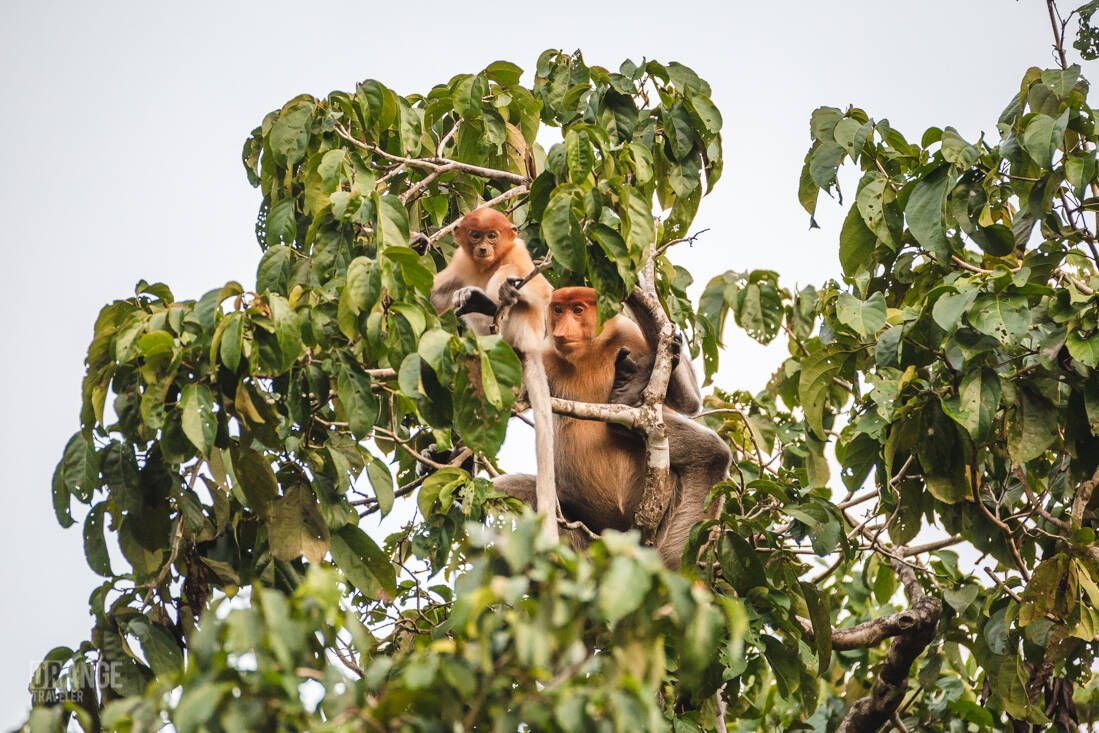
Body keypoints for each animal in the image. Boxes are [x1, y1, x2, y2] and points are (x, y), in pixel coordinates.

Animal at [429, 206, 559, 539]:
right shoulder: (460, 260)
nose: (484, 249)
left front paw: (504, 290)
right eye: (475, 236)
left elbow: (543, 292)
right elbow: (434, 295)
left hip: (521, 332)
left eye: (493, 236)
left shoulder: (518, 253)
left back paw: (487, 302)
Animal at [494, 287, 731, 569]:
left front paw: (639, 296)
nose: (561, 330)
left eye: (577, 310)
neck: (590, 353)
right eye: (558, 310)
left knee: (712, 454)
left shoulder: (628, 333)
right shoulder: (544, 356)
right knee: (503, 490)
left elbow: (690, 401)